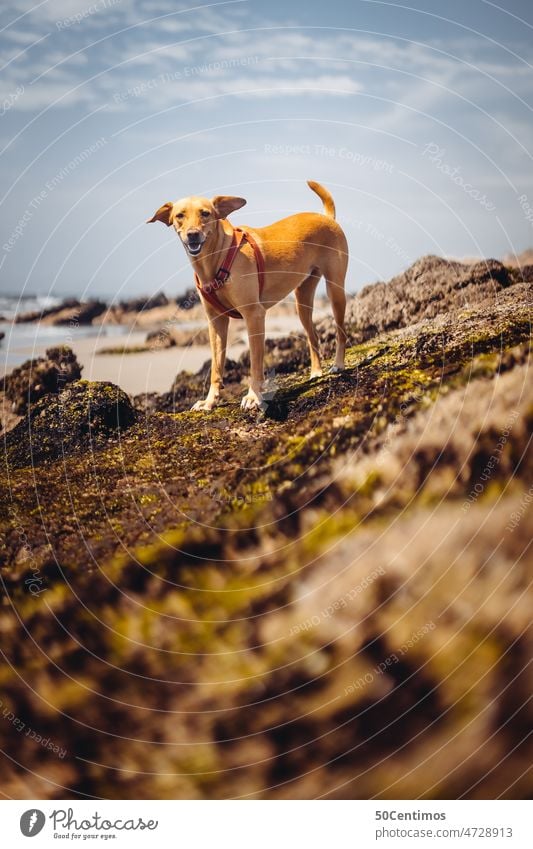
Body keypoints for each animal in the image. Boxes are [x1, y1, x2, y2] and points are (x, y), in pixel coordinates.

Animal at [148, 181, 348, 412]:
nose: (193, 234)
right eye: (180, 215)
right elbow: (216, 367)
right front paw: (210, 401)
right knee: (312, 335)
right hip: (302, 300)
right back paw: (316, 371)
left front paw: (253, 397)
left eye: (205, 213)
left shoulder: (254, 315)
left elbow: (255, 364)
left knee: (341, 332)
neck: (216, 258)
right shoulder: (216, 322)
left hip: (335, 291)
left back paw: (338, 364)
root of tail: (326, 217)